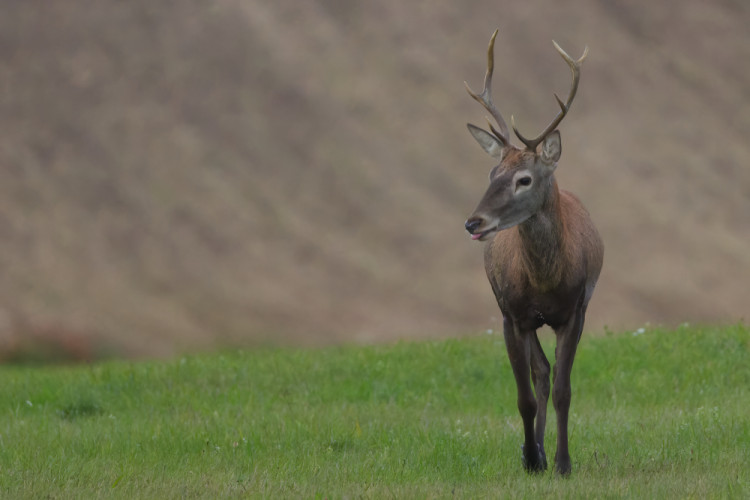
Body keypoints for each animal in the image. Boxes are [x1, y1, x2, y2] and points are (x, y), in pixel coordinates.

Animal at [464, 29, 604, 474]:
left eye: (524, 179)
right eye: (492, 173)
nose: (473, 222)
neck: (545, 282)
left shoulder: (576, 310)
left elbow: (563, 390)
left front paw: (563, 462)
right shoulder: (511, 314)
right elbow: (524, 396)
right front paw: (531, 456)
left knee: (547, 375)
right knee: (539, 374)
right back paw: (535, 450)